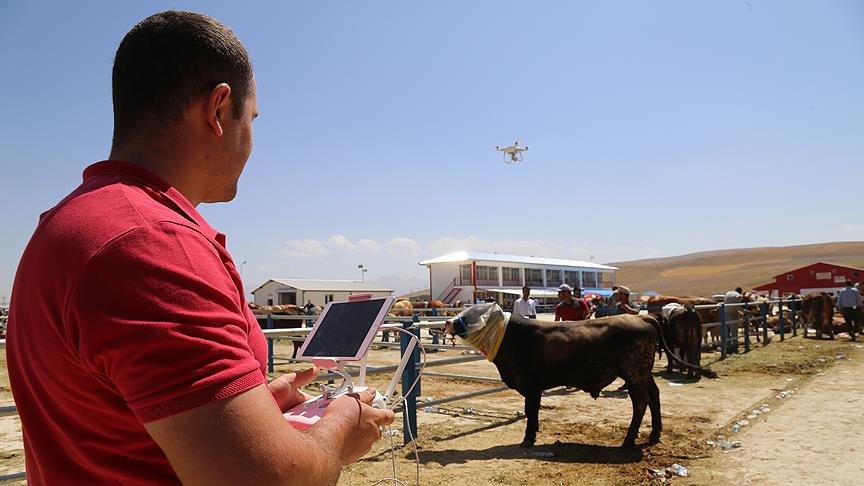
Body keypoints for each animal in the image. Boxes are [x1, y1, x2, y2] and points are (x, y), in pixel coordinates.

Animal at [446, 306, 716, 450]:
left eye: (473, 313)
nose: (449, 321)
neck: (510, 336)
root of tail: (641, 317)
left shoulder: (532, 387)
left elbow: (531, 412)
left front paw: (528, 438)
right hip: (642, 374)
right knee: (654, 396)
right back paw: (654, 434)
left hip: (634, 374)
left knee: (640, 403)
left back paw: (628, 440)